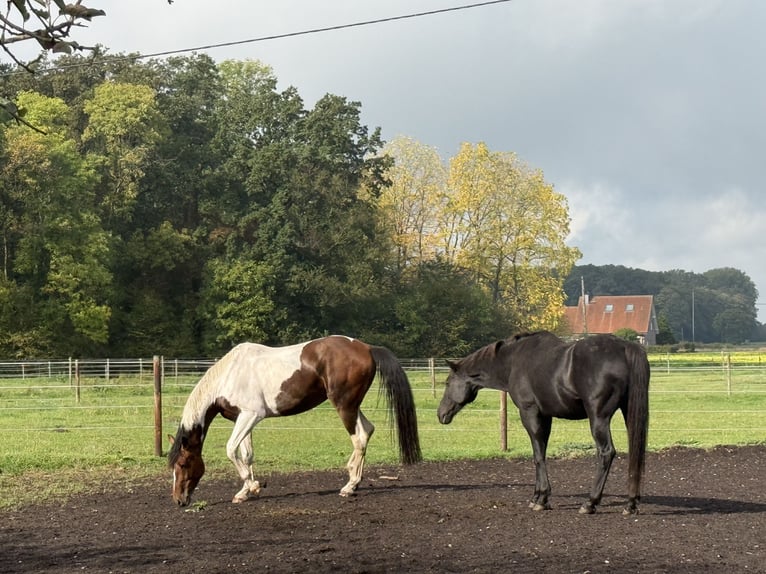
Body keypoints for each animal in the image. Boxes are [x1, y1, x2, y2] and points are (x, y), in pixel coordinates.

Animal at [168, 335, 422, 506]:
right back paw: (353, 479)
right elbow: (246, 455)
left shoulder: (251, 415)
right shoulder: (243, 419)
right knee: (367, 431)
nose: (179, 500)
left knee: (358, 438)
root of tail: (366, 347)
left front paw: (253, 486)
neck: (230, 375)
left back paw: (349, 487)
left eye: (182, 464)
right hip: (352, 406)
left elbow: (231, 450)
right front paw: (245, 492)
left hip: (344, 406)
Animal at [437, 331, 649, 515]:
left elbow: (537, 456)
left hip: (598, 418)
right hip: (628, 412)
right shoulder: (546, 417)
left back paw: (590, 503)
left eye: (447, 382)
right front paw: (537, 496)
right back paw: (630, 504)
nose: (441, 414)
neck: (513, 361)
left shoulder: (530, 413)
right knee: (635, 450)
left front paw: (541, 499)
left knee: (606, 452)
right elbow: (542, 452)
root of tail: (625, 347)